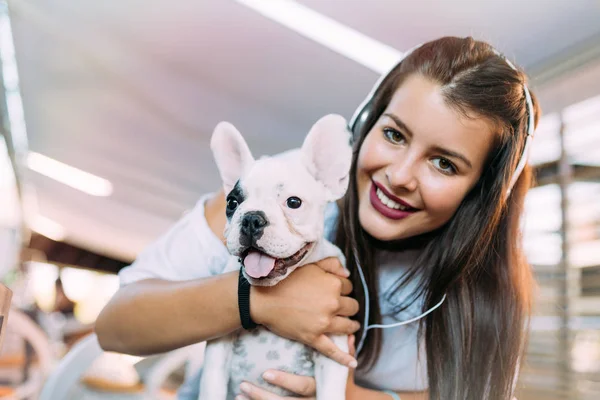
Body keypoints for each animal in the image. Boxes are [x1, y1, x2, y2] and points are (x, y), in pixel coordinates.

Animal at [199, 114, 354, 400]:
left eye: (294, 202)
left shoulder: (333, 351)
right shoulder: (218, 352)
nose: (252, 219)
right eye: (232, 203)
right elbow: (211, 388)